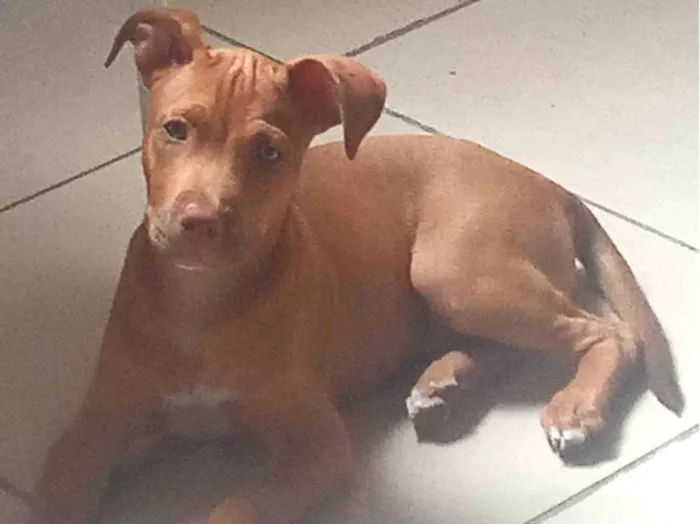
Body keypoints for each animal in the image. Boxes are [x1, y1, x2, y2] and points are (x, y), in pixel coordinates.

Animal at [31, 8, 683, 524]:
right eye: (174, 130)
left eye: (270, 153)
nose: (200, 223)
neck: (203, 301)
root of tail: (548, 182)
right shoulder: (95, 426)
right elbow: (55, 496)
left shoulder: (316, 446)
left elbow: (233, 510)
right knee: (518, 343)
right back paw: (444, 383)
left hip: (455, 271)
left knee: (605, 332)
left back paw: (575, 408)